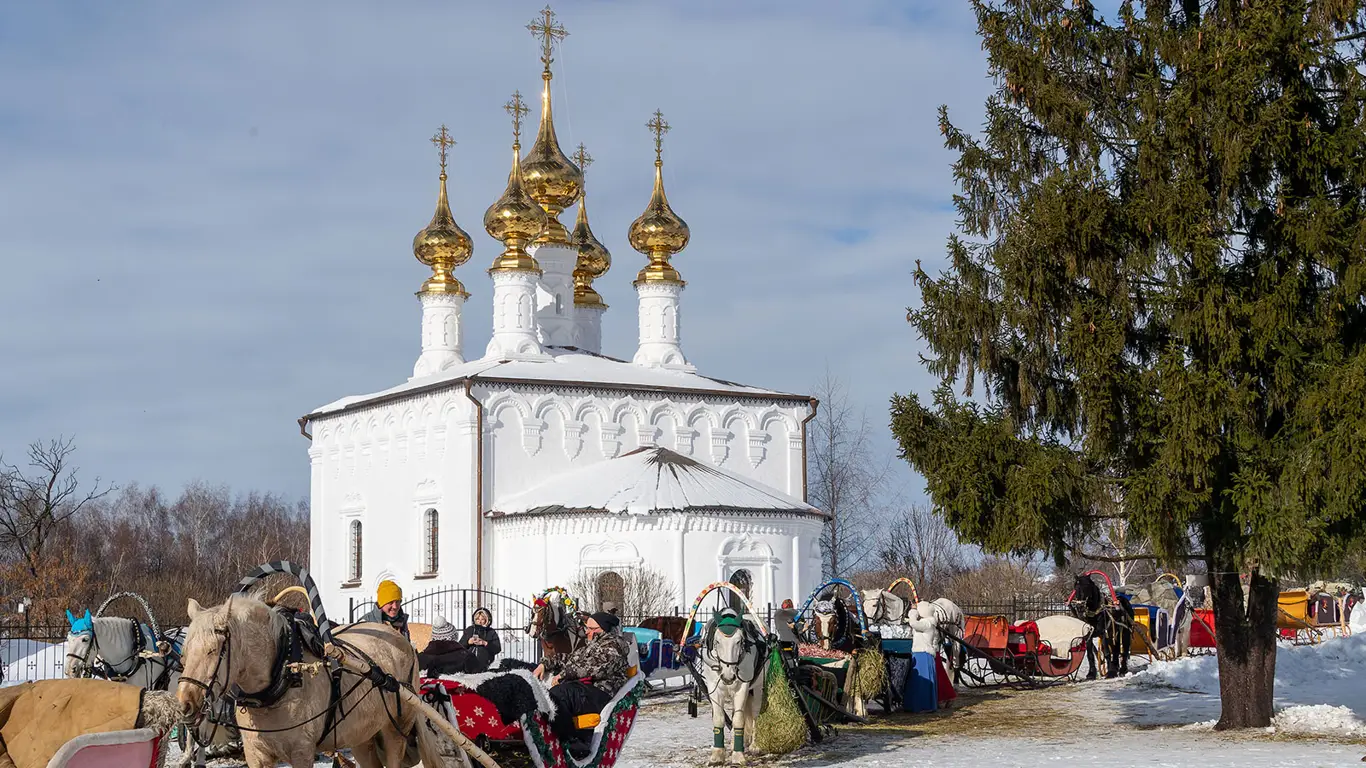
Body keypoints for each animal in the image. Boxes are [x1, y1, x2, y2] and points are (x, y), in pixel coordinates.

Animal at [174, 595, 442, 768]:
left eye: (213, 650)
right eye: (184, 652)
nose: (185, 705)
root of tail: (404, 641)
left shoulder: (302, 752)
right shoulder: (256, 753)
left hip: (395, 729)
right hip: (362, 734)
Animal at [693, 606, 770, 759]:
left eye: (739, 641)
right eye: (717, 642)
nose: (728, 676)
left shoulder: (743, 687)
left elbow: (739, 719)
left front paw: (738, 756)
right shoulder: (713, 688)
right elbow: (719, 718)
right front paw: (717, 754)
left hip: (758, 687)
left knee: (755, 712)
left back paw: (754, 745)